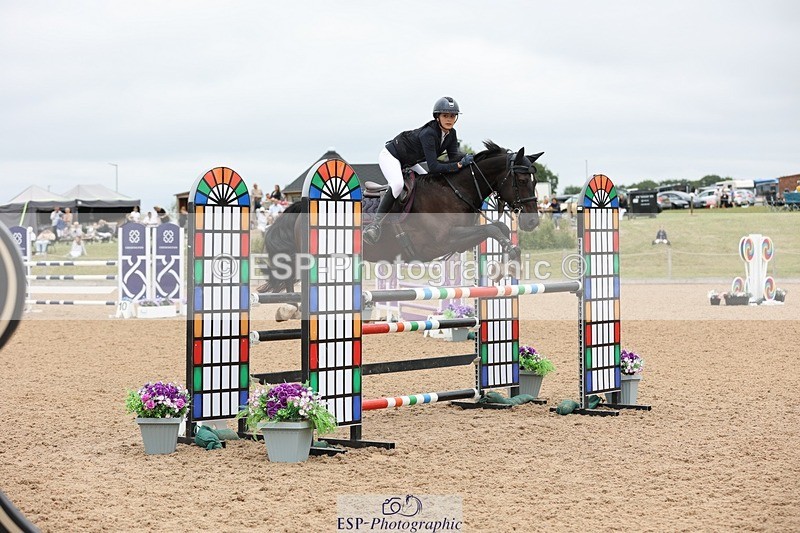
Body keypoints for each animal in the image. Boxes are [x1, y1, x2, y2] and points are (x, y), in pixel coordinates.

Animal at [258, 140, 541, 295]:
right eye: (522, 179)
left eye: (536, 180)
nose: (533, 222)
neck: (455, 190)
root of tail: (300, 205)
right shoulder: (443, 241)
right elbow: (492, 230)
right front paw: (507, 261)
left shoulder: (460, 241)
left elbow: (499, 227)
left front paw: (505, 265)